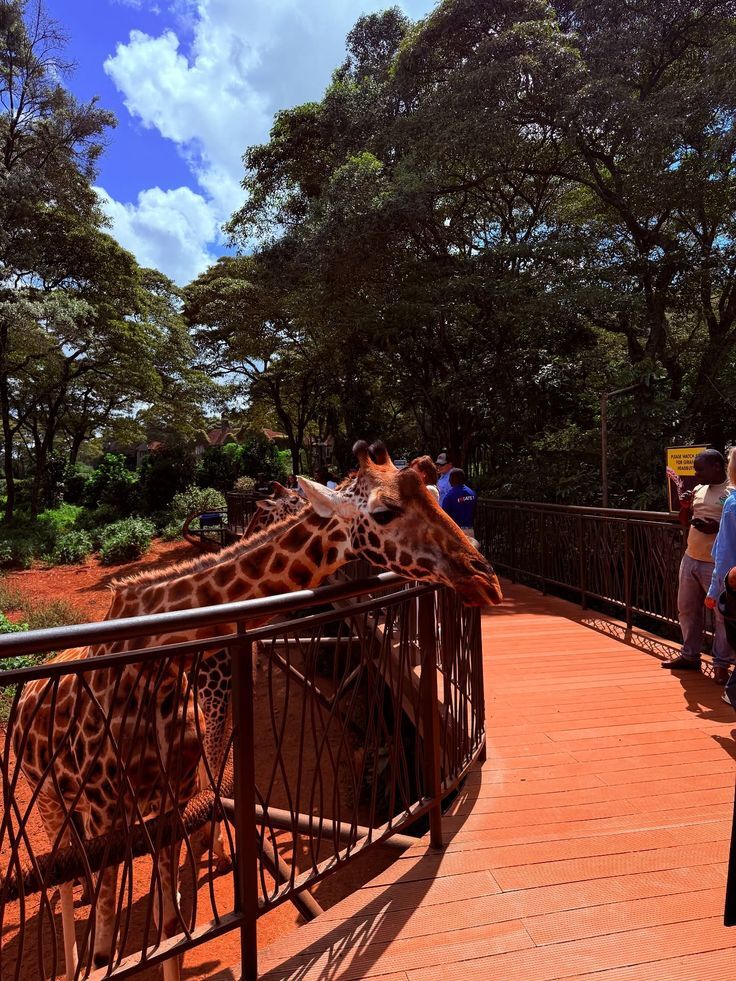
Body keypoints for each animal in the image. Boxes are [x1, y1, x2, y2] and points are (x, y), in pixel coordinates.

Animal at [13, 440, 502, 980]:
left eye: (436, 494)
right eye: (383, 511)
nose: (487, 580)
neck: (153, 660)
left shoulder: (169, 799)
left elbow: (171, 929)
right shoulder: (109, 810)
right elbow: (109, 946)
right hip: (54, 803)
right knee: (62, 873)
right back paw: (71, 949)